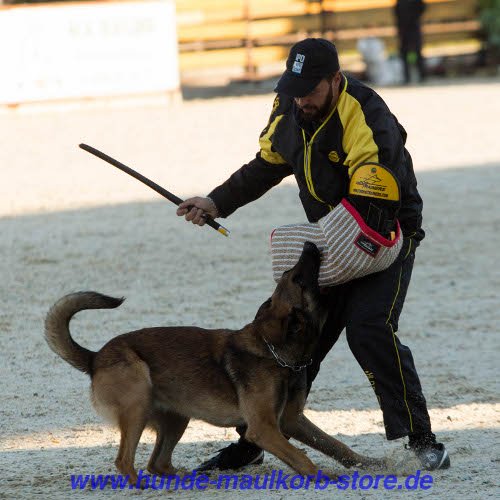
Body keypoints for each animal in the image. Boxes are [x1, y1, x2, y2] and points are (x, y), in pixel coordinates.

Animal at [45, 242, 380, 484]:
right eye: (297, 278)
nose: (311, 244)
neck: (278, 354)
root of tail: (95, 357)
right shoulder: (263, 429)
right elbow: (301, 456)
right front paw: (324, 476)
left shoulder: (291, 421)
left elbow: (335, 445)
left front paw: (372, 463)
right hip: (137, 401)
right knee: (126, 461)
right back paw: (143, 486)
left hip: (177, 418)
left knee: (158, 463)